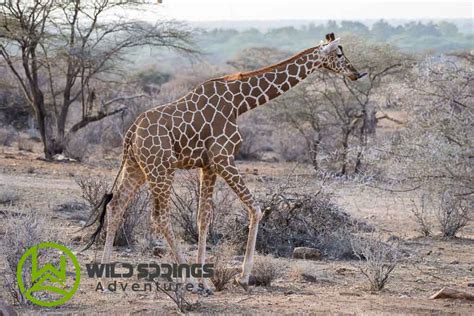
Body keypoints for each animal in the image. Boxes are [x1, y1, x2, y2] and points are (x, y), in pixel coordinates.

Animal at [83, 33, 366, 292]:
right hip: (161, 169)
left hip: (137, 167)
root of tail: (131, 134)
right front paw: (241, 277)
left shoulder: (208, 165)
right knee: (159, 217)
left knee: (116, 205)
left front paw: (204, 280)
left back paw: (104, 279)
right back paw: (185, 281)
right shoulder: (223, 158)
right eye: (339, 54)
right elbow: (256, 208)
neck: (240, 103)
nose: (357, 73)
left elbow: (203, 217)